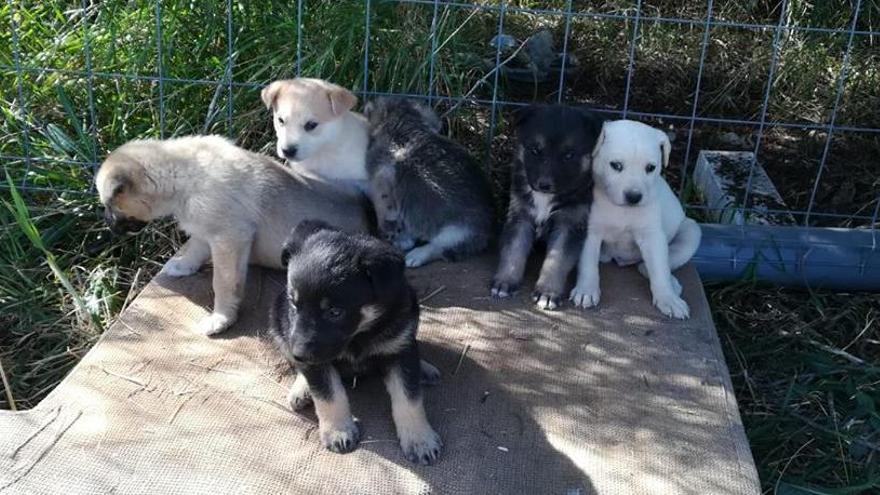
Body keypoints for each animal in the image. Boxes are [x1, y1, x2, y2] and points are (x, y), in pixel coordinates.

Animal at [94, 136, 370, 338]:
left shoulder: (229, 239)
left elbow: (223, 283)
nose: (107, 224)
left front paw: (221, 319)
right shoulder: (205, 232)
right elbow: (195, 249)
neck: (180, 176)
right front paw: (182, 266)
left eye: (109, 206)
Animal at [268, 221, 444, 464]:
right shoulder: (313, 357)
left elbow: (409, 398)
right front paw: (338, 431)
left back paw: (424, 369)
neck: (358, 335)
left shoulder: (399, 349)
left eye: (335, 312)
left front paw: (419, 439)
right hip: (278, 320)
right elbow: (328, 393)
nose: (299, 354)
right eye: (294, 304)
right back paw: (301, 389)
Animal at [364, 99, 496, 270]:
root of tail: (487, 232)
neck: (405, 127)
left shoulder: (381, 183)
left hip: (455, 233)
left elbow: (387, 214)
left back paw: (416, 256)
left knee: (439, 248)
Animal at [488, 105, 604, 310]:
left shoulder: (568, 224)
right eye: (535, 150)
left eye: (569, 155)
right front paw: (505, 282)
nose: (544, 185)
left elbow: (556, 260)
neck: (545, 198)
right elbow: (513, 251)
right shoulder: (520, 216)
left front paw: (547, 293)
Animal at [572, 122, 700, 320]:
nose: (634, 197)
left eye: (650, 167)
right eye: (616, 165)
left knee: (654, 265)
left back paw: (671, 283)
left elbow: (660, 269)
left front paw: (668, 299)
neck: (622, 209)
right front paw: (586, 290)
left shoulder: (652, 237)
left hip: (691, 232)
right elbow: (588, 263)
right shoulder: (590, 233)